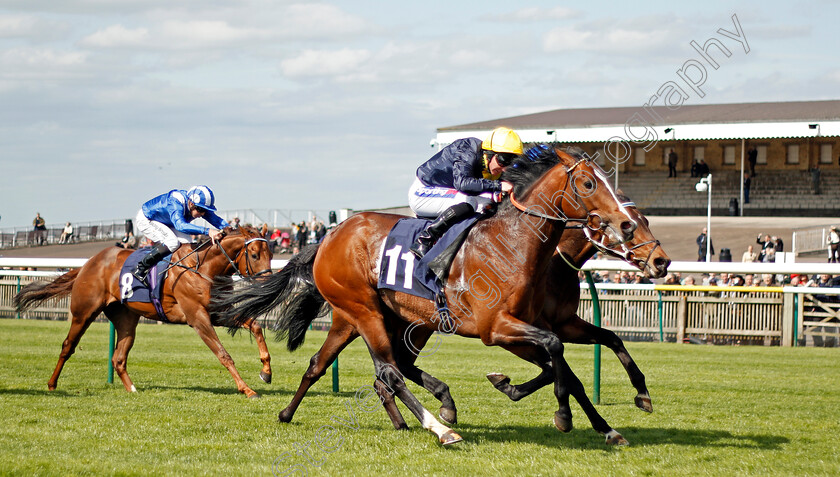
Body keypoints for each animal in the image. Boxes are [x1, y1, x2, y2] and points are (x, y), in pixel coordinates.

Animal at [14, 225, 272, 396]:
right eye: (254, 255)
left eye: (270, 254)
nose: (268, 282)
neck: (203, 267)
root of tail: (88, 263)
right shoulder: (198, 318)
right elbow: (223, 354)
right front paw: (247, 389)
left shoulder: (218, 313)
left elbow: (256, 326)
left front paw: (266, 371)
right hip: (84, 312)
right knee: (68, 346)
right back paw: (52, 384)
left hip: (126, 318)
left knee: (118, 357)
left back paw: (132, 389)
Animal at [213, 147, 640, 444]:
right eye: (589, 184)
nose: (626, 225)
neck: (513, 244)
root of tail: (329, 236)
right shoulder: (496, 328)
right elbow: (555, 349)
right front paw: (564, 416)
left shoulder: (524, 326)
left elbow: (559, 358)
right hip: (364, 311)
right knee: (388, 370)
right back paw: (439, 427)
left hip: (383, 319)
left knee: (334, 364)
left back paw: (294, 413)